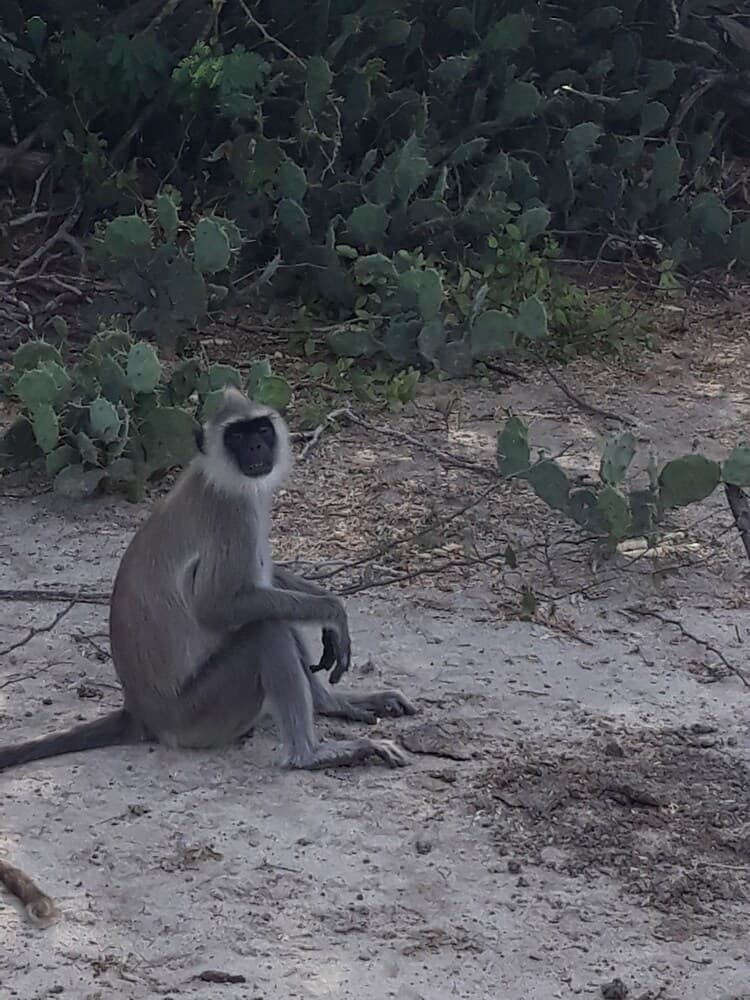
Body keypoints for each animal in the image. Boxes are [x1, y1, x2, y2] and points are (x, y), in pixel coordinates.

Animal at [0, 388, 417, 774]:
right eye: (237, 435)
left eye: (261, 429)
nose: (257, 446)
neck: (215, 473)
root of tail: (140, 713)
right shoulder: (232, 512)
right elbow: (219, 605)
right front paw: (334, 612)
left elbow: (266, 583)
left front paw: (330, 613)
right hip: (198, 714)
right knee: (264, 629)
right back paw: (310, 755)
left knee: (273, 614)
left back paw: (334, 705)